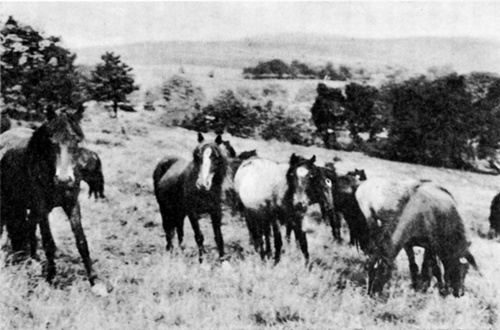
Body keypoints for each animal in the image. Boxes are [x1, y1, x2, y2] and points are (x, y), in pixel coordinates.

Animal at [0, 105, 107, 292]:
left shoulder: (72, 204)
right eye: (51, 142)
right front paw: (51, 278)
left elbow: (81, 241)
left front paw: (94, 281)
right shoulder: (41, 207)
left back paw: (32, 258)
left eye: (76, 140)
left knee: (28, 227)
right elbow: (48, 242)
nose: (63, 179)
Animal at [153, 133, 229, 262]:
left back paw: (182, 253)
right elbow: (199, 236)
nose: (202, 184)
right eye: (198, 156)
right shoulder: (192, 212)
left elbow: (219, 237)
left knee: (179, 230)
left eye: (215, 157)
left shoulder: (216, 211)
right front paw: (202, 261)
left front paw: (223, 261)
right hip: (164, 209)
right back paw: (170, 252)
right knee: (168, 231)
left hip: (179, 211)